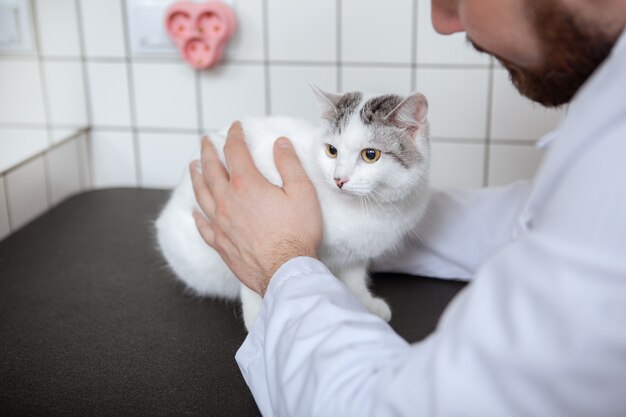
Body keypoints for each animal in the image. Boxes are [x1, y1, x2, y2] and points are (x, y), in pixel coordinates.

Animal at [155, 86, 428, 330]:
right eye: (331, 150)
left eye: (371, 154)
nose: (339, 179)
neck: (364, 210)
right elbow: (253, 285)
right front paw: (258, 321)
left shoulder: (355, 255)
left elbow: (353, 279)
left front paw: (363, 304)